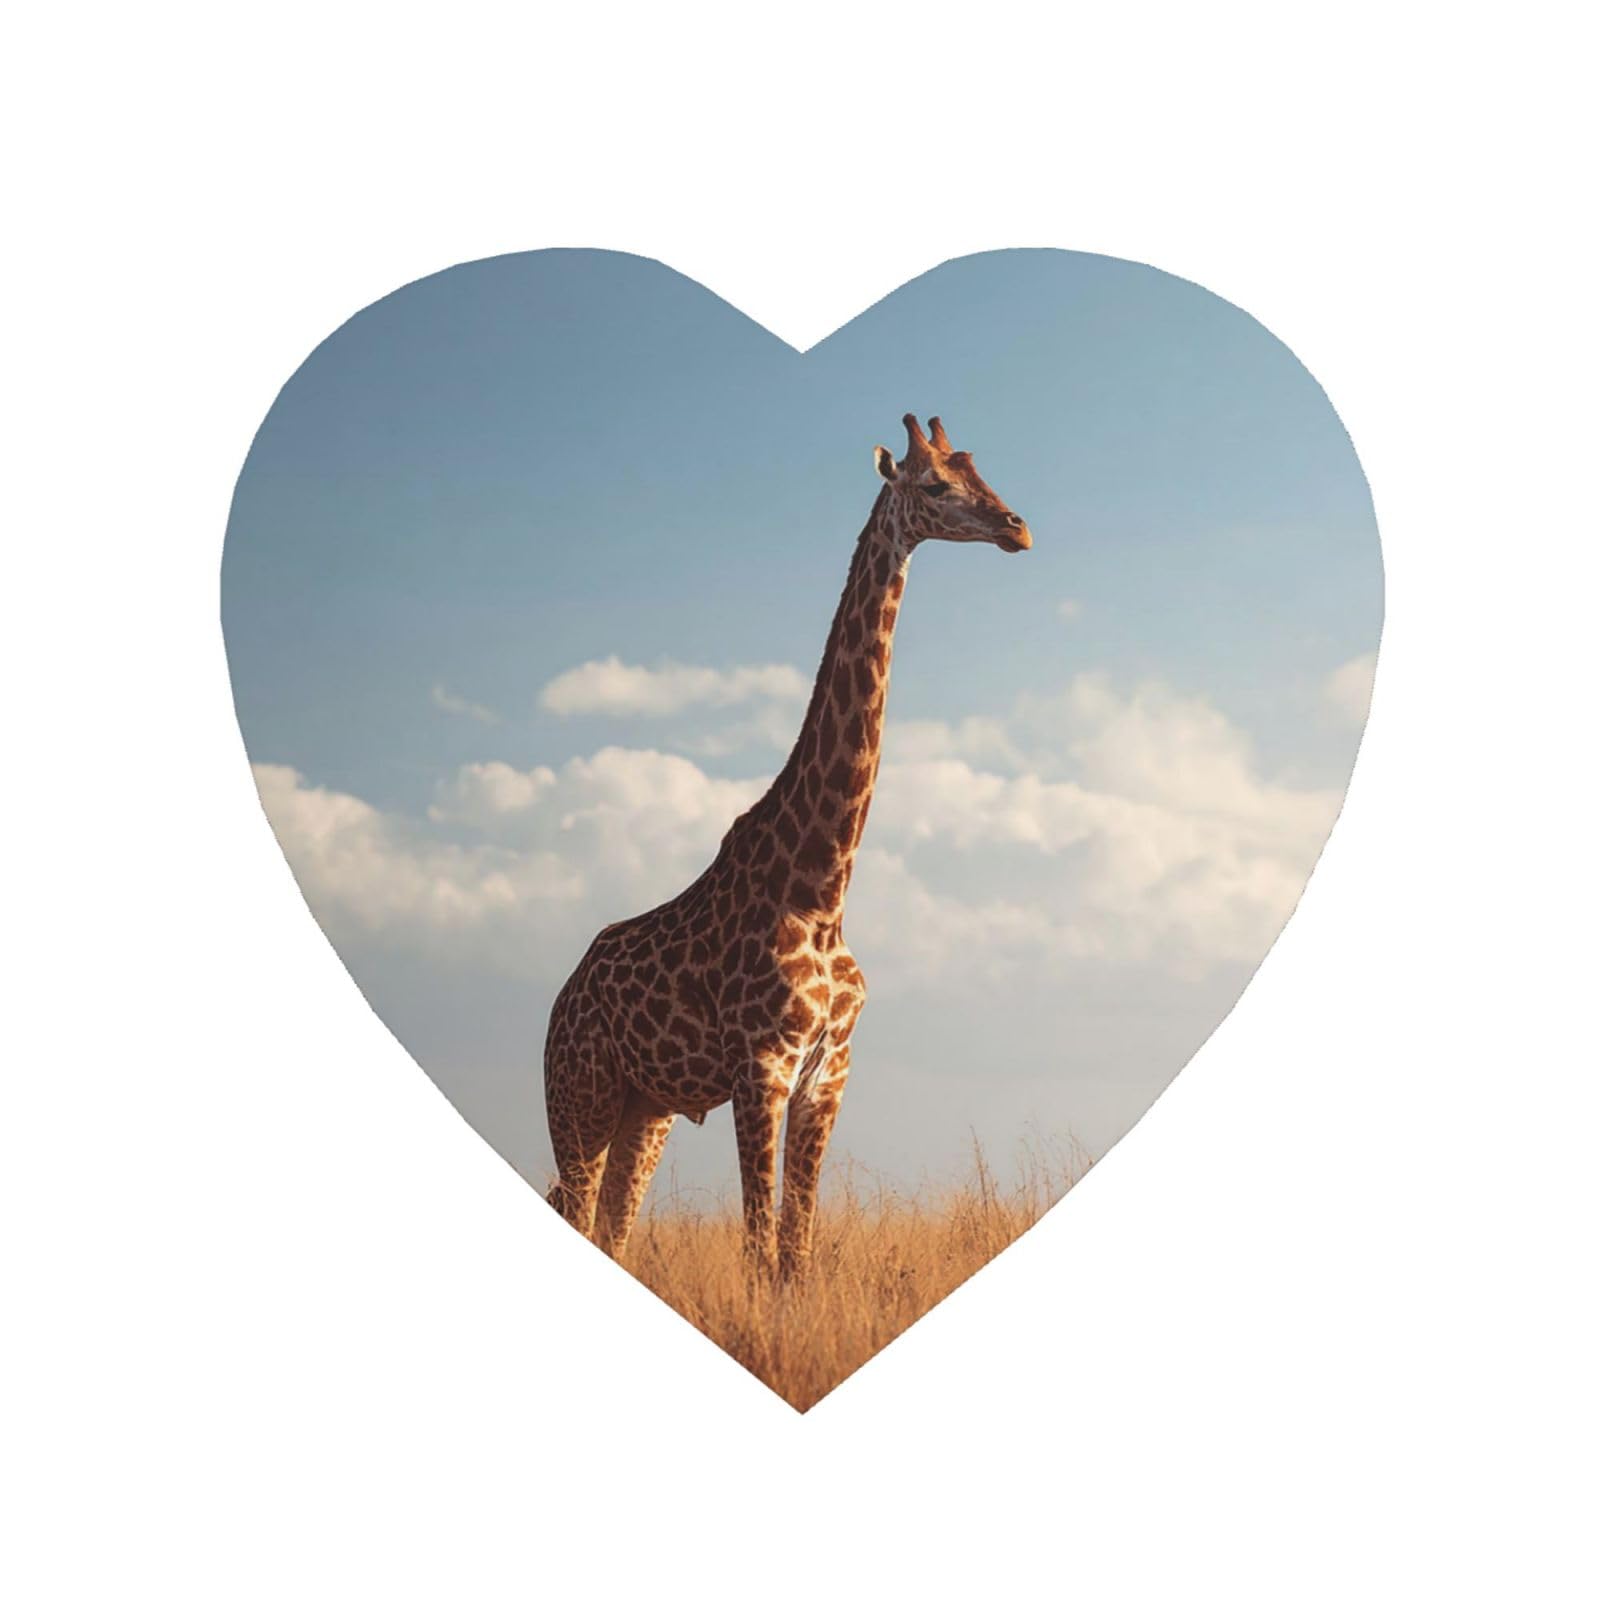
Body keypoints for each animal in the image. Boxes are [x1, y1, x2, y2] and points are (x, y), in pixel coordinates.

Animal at [543, 414, 1032, 1278]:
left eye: (980, 469)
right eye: (934, 484)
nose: (1018, 527)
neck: (823, 886)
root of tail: (559, 1003)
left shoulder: (827, 1074)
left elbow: (795, 1252)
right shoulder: (760, 1068)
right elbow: (759, 1246)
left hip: (644, 1110)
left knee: (611, 1231)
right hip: (581, 1097)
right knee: (573, 1211)